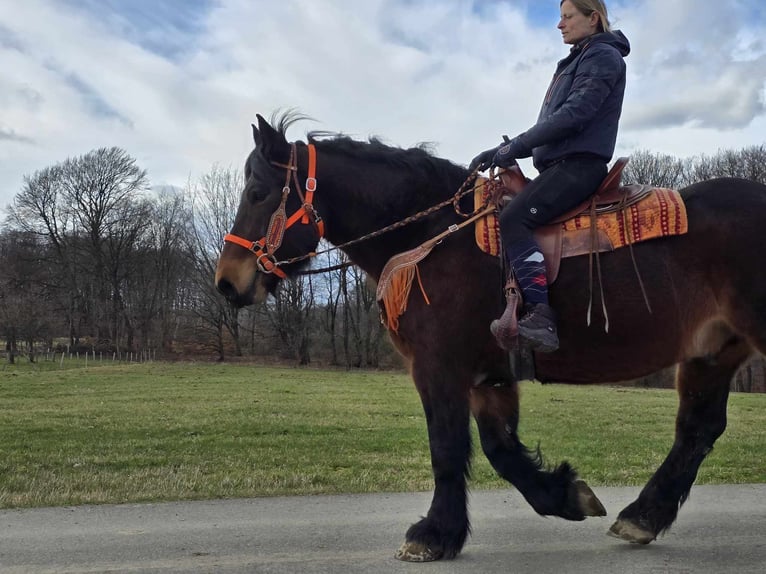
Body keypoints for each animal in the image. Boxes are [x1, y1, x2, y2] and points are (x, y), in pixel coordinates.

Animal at [214, 111, 766, 564]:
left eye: (258, 192)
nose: (227, 282)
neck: (434, 238)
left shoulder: (440, 368)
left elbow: (447, 447)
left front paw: (433, 535)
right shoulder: (489, 379)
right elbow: (500, 451)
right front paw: (564, 495)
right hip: (711, 353)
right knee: (697, 431)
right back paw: (642, 517)